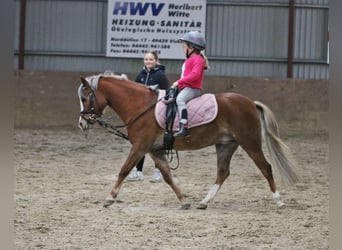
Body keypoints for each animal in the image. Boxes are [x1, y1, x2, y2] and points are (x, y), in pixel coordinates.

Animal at [79, 73, 298, 209]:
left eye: (84, 97)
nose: (82, 123)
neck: (141, 106)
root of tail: (250, 103)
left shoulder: (140, 147)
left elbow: (124, 170)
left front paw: (109, 198)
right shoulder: (154, 150)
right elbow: (167, 176)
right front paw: (183, 200)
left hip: (249, 142)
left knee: (266, 168)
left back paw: (278, 201)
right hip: (226, 145)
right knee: (223, 172)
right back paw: (204, 201)